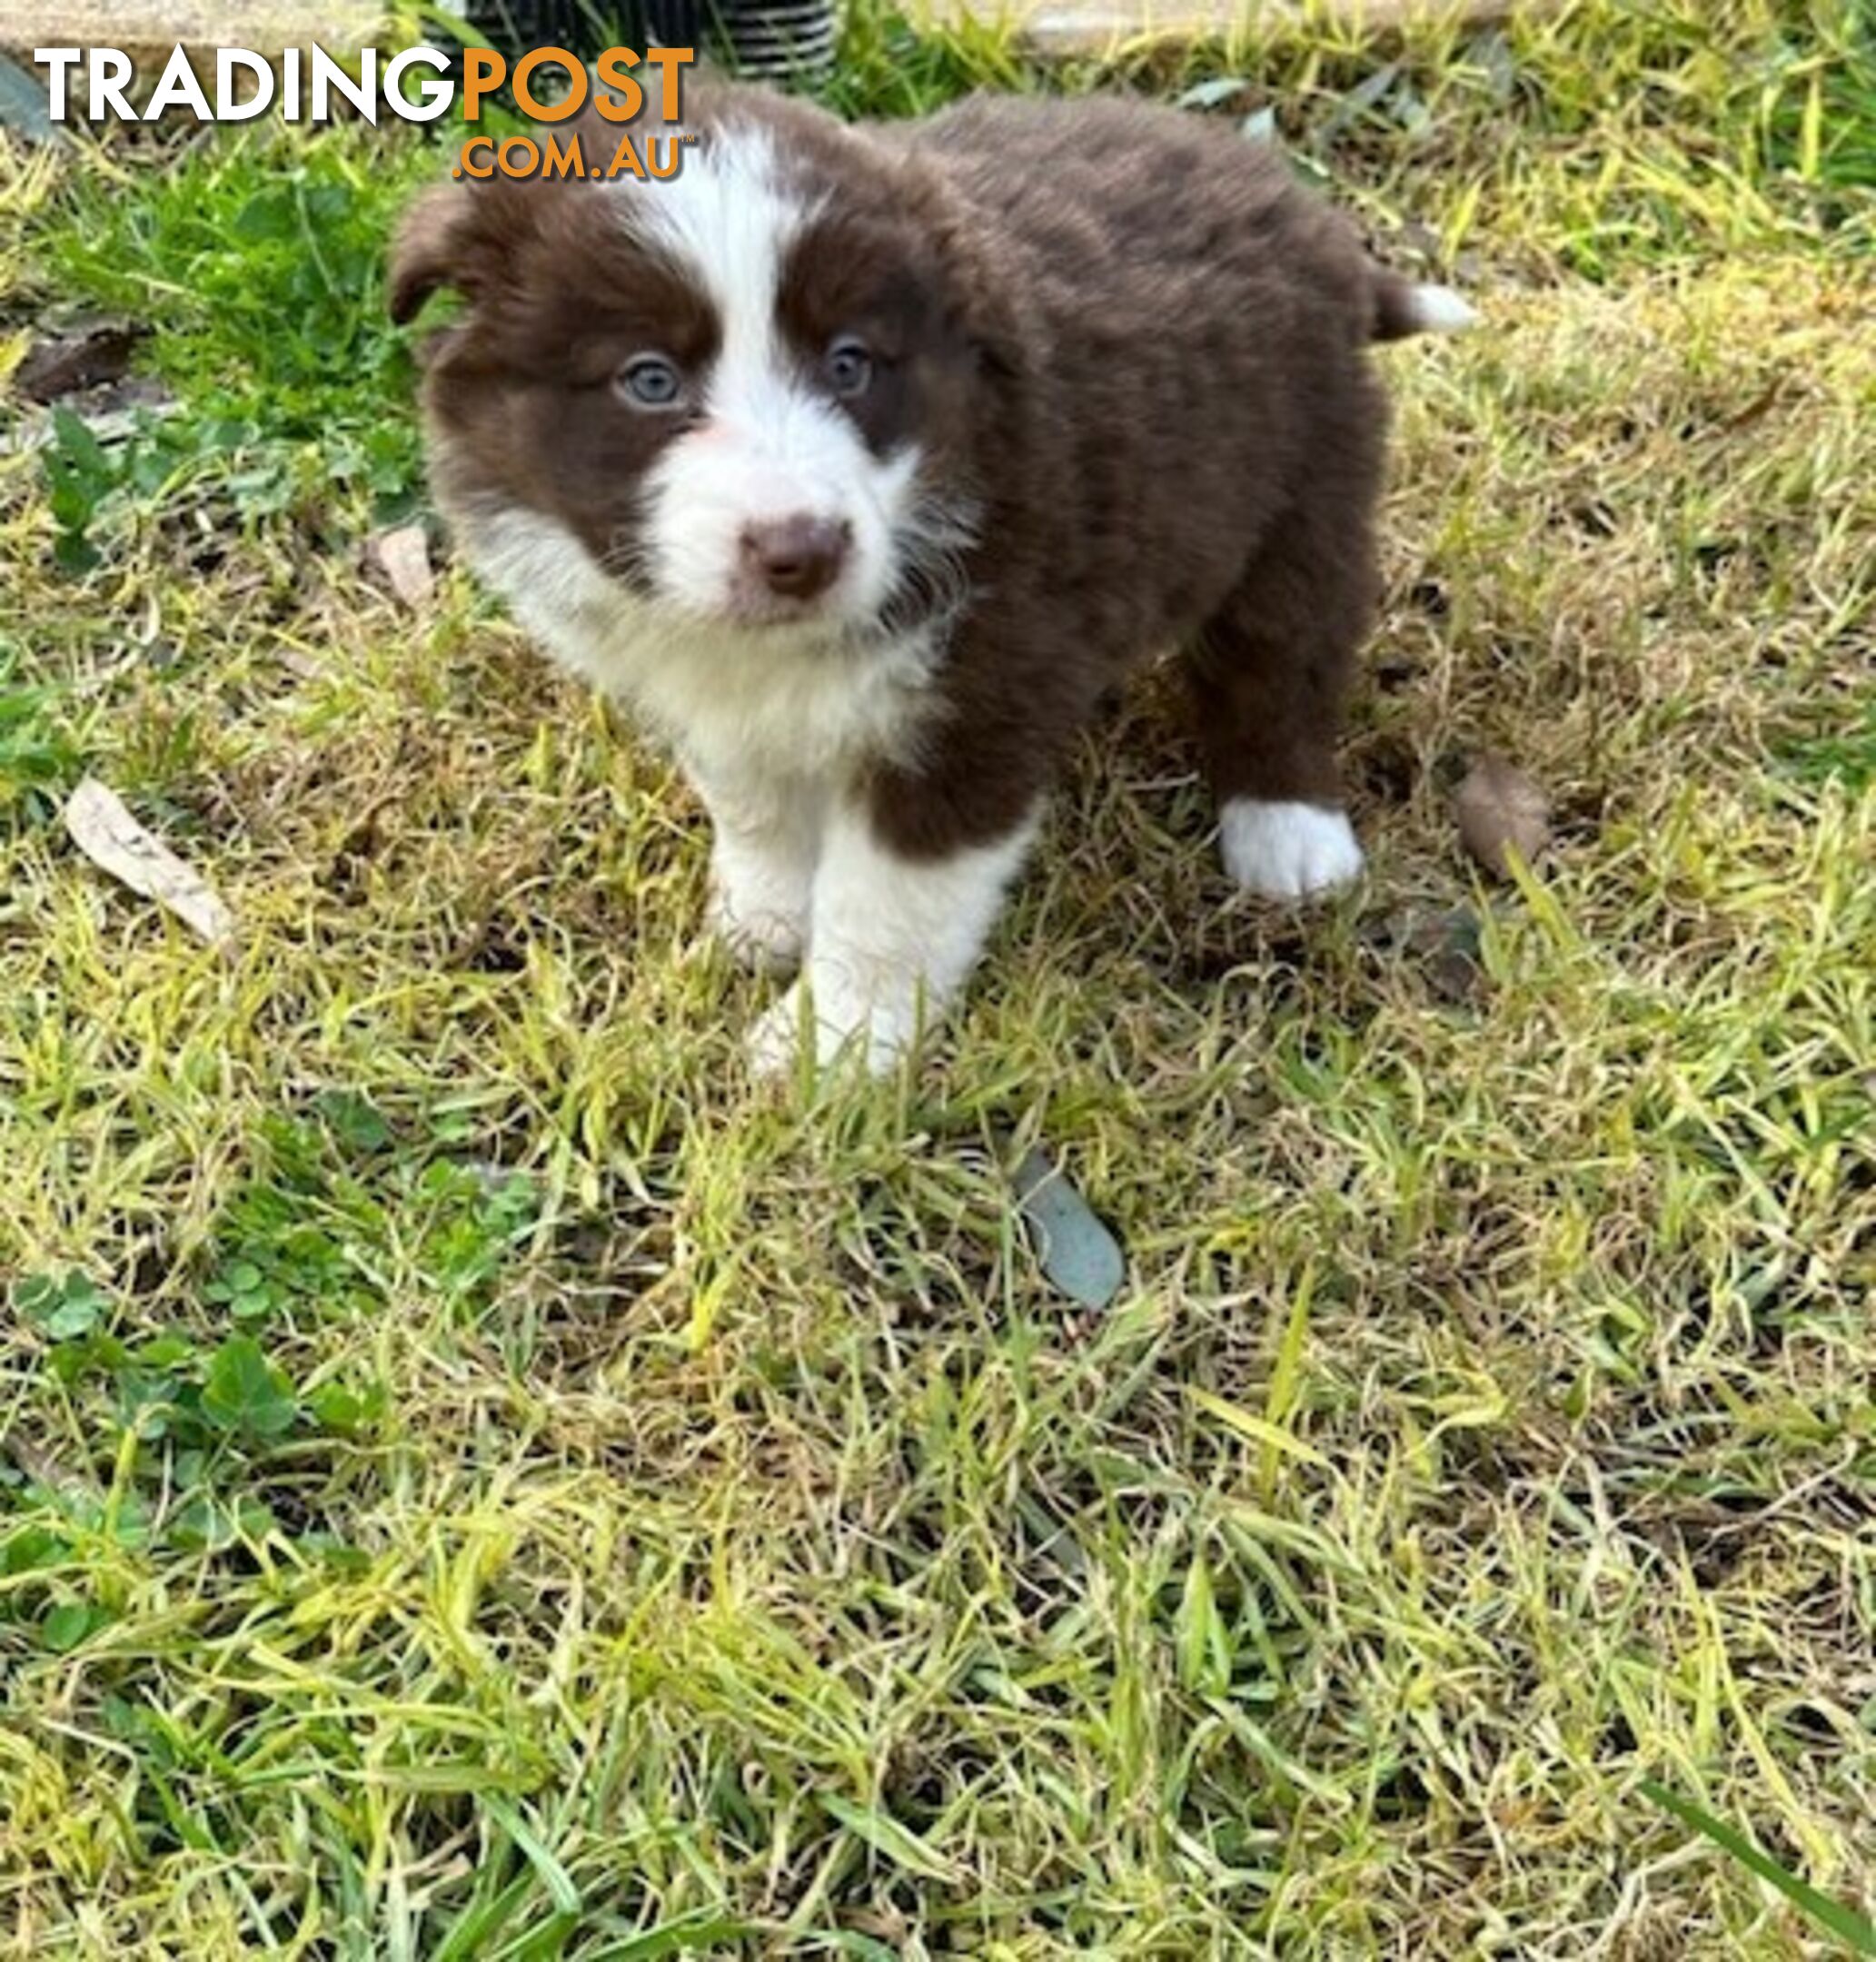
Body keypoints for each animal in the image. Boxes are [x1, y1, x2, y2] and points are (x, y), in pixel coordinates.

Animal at [388, 80, 1475, 1075]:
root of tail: (1306, 218)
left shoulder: (975, 699)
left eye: (850, 365)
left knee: (1282, 660)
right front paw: (763, 923)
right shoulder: (724, 698)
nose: (802, 551)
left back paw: (1288, 838)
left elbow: (888, 898)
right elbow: (755, 804)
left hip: (1301, 494)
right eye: (648, 380)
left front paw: (832, 1047)